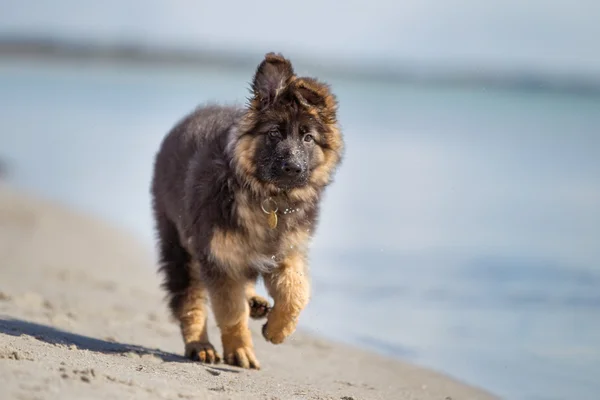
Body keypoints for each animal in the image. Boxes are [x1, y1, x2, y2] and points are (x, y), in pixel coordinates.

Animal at [150, 52, 344, 368]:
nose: (293, 168)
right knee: (190, 299)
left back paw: (255, 302)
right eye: (274, 133)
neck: (268, 198)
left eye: (308, 138)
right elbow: (231, 311)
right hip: (179, 245)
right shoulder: (219, 257)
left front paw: (278, 329)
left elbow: (297, 292)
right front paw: (240, 348)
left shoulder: (287, 252)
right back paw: (199, 344)